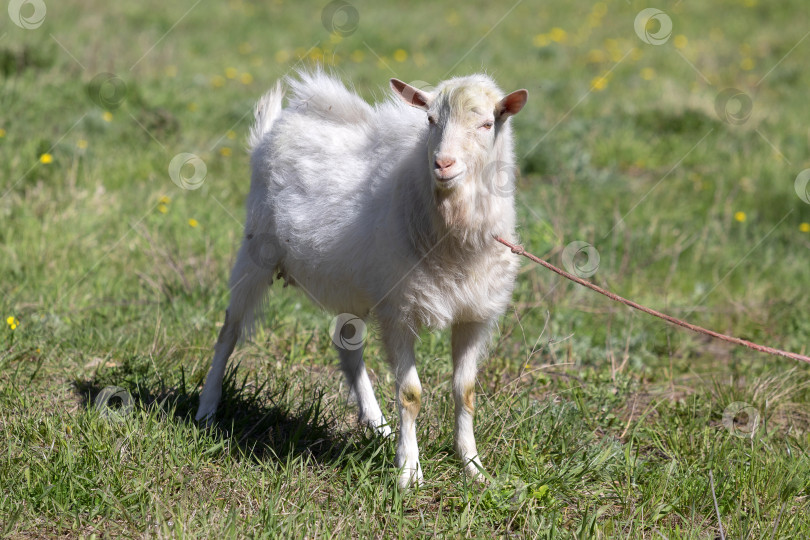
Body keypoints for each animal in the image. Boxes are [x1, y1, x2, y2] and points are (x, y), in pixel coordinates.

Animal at [194, 69, 524, 488]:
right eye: (430, 120)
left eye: (487, 124)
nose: (443, 164)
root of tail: (275, 128)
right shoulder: (400, 311)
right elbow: (411, 394)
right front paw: (409, 472)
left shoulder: (474, 315)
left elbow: (465, 392)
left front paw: (474, 468)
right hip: (255, 253)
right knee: (229, 331)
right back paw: (207, 408)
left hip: (350, 283)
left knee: (347, 345)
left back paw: (378, 424)